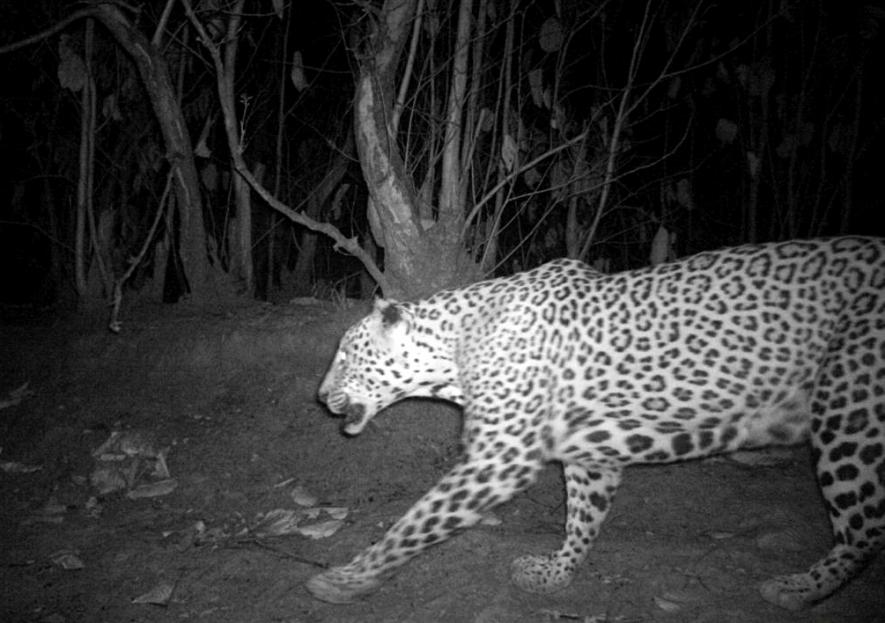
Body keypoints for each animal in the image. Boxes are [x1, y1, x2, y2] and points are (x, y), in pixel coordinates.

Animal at [307, 237, 885, 611]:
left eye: (346, 355)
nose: (319, 395)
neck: (454, 347)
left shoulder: (500, 458)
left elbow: (416, 520)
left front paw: (349, 578)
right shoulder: (591, 452)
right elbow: (583, 517)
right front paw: (555, 575)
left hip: (849, 413)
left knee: (864, 528)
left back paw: (799, 589)